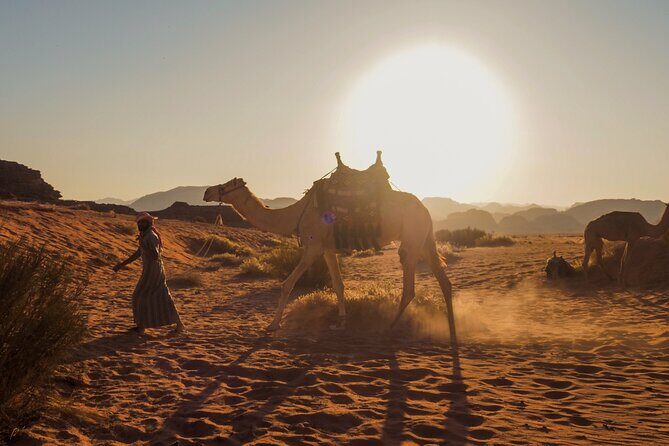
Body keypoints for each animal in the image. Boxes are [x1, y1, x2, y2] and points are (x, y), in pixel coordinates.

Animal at [203, 154, 455, 339]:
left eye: (227, 185)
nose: (207, 191)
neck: (297, 213)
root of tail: (425, 209)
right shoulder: (327, 249)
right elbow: (338, 285)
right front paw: (341, 322)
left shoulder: (313, 246)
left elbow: (287, 284)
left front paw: (272, 325)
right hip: (424, 240)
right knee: (444, 281)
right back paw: (452, 329)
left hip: (412, 237)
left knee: (410, 286)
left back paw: (390, 327)